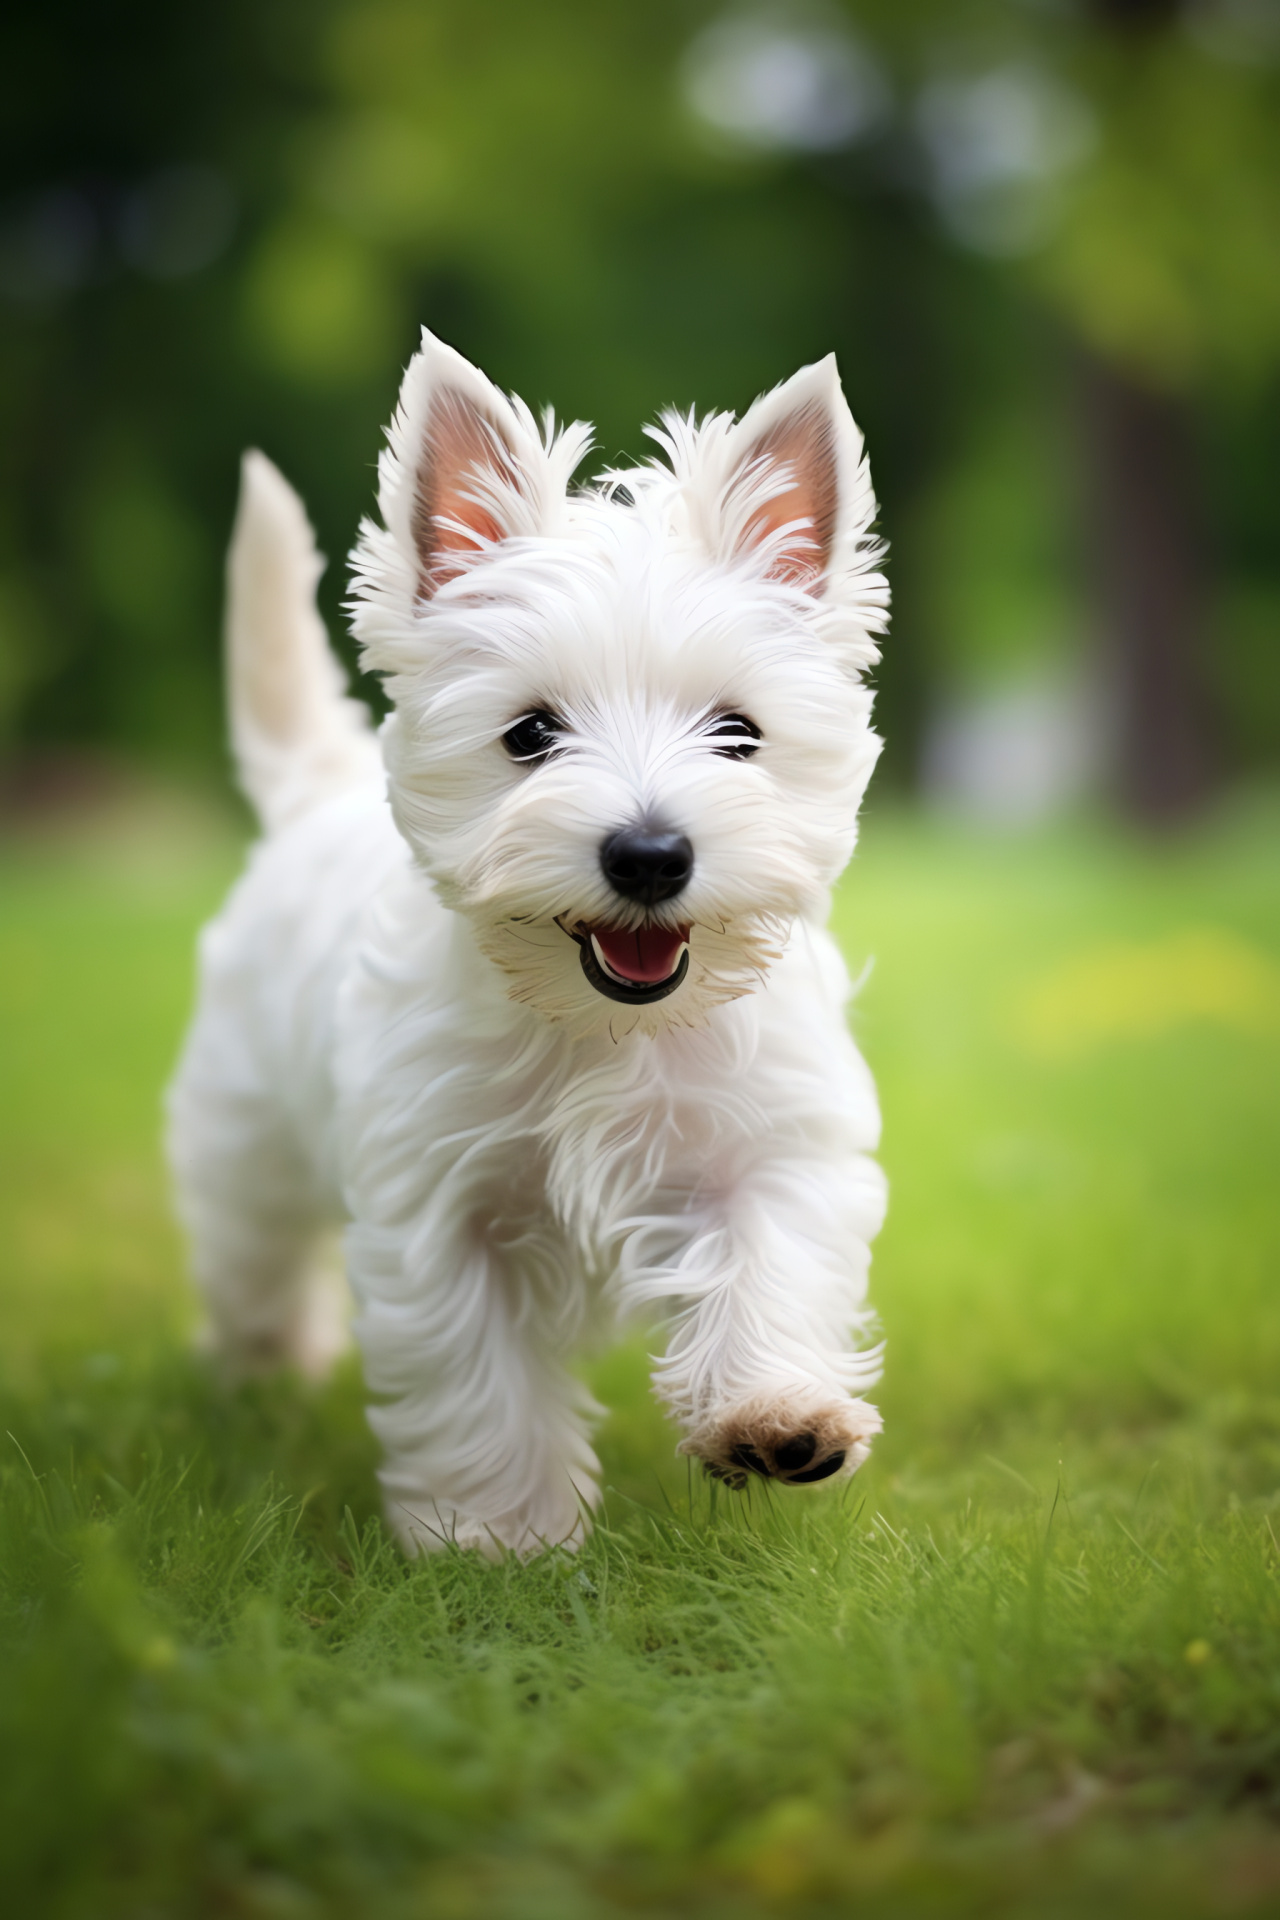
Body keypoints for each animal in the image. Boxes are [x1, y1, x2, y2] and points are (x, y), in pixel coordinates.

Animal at [167, 330, 890, 1559]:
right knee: (252, 1255)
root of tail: (312, 793)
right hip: (245, 1139)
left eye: (737, 733)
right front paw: (496, 1542)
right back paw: (266, 1376)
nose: (648, 854)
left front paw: (776, 1416)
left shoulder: (773, 1145)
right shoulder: (441, 1210)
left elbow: (767, 1263)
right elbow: (478, 1380)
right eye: (530, 734)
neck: (601, 1028)